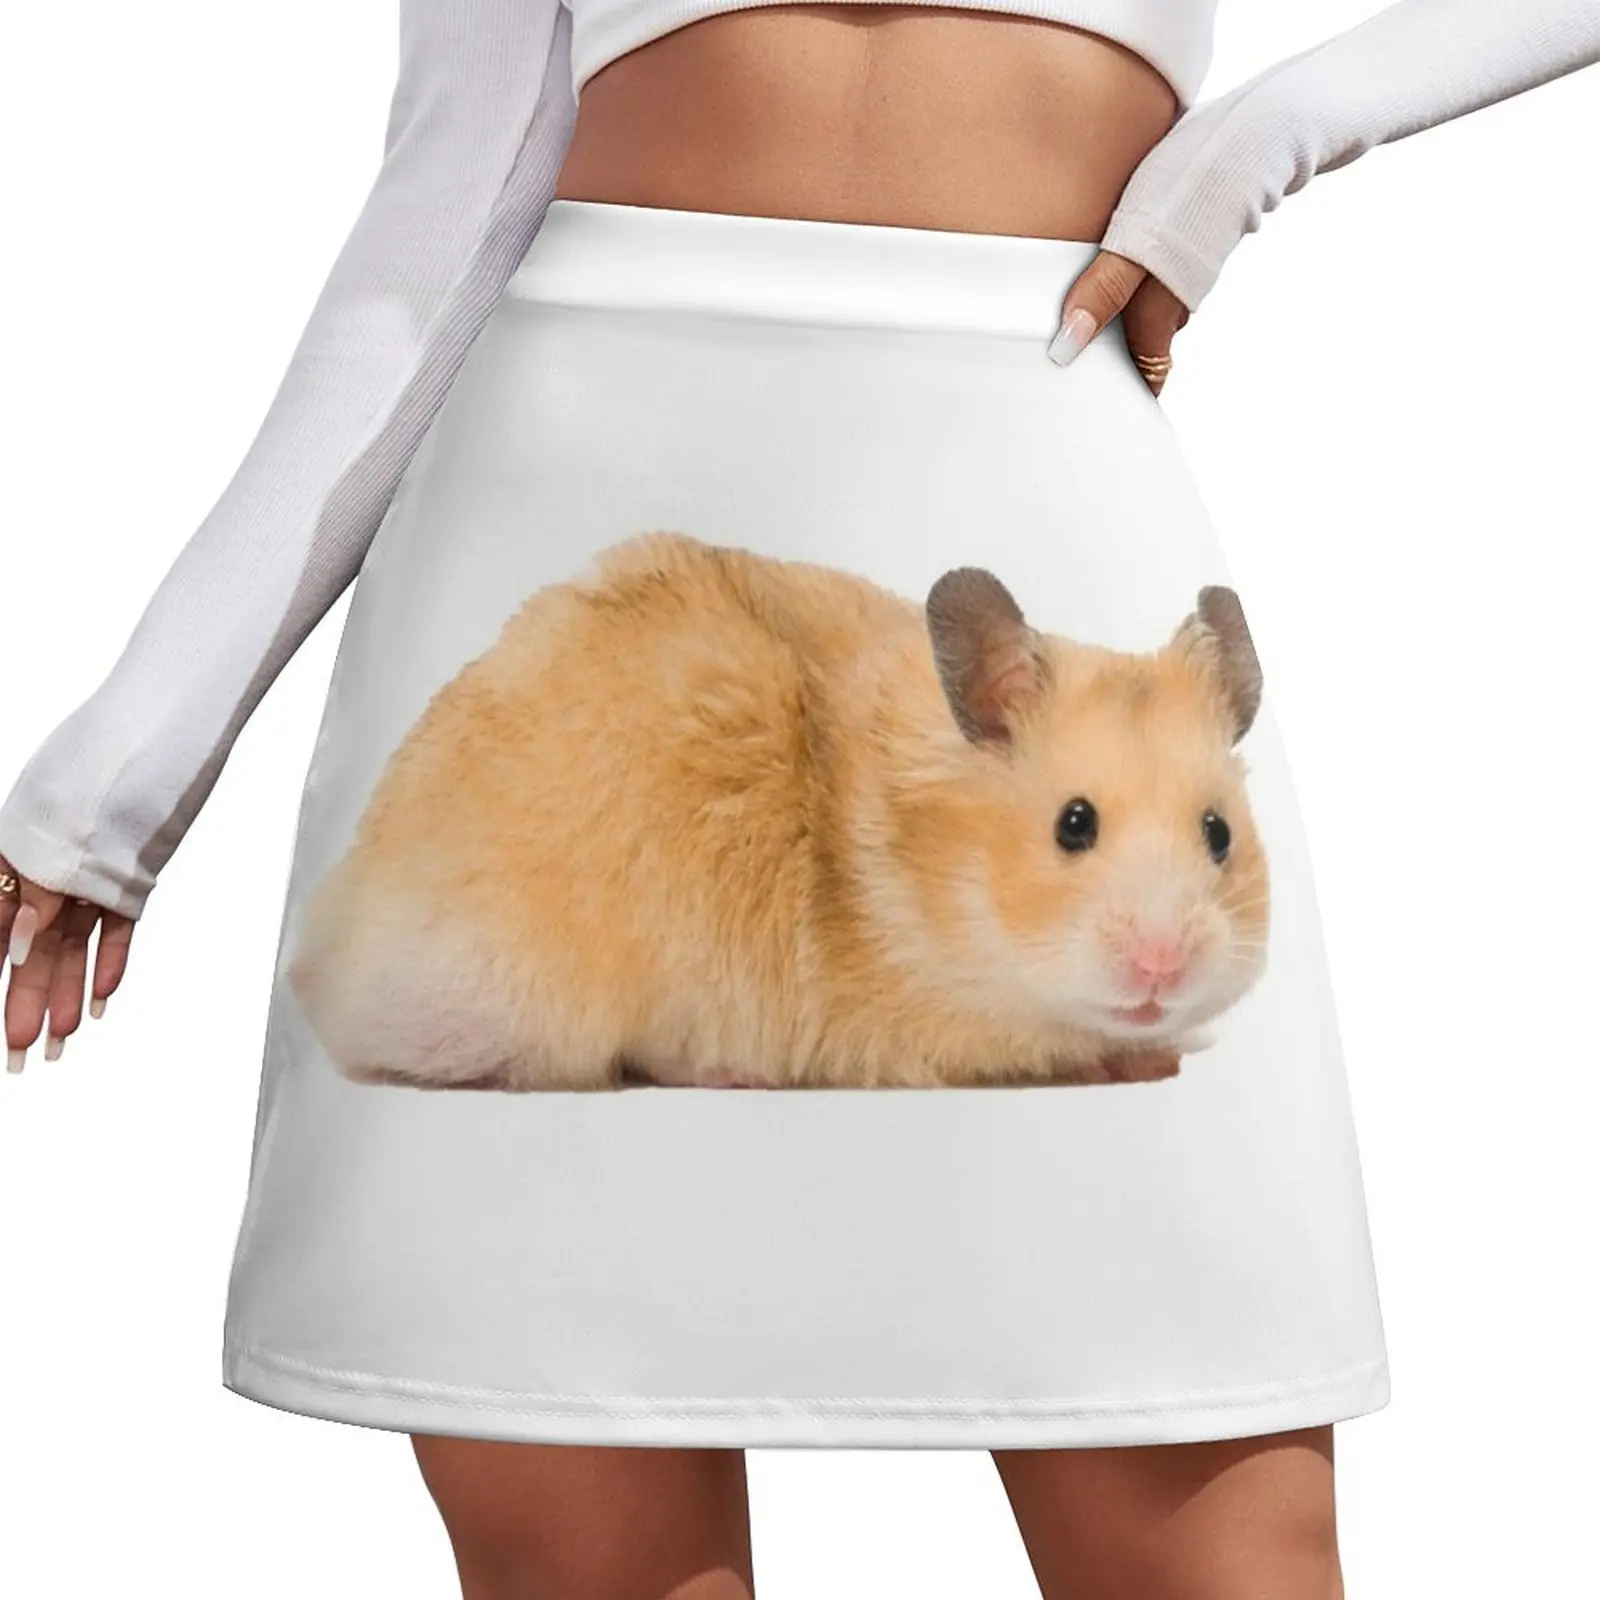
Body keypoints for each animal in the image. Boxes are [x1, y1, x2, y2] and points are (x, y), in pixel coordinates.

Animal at [286, 530, 1270, 1091]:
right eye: (1074, 824)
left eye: (1219, 833)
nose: (1163, 968)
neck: (941, 879)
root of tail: (335, 951)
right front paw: (1138, 1055)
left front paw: (1165, 1051)